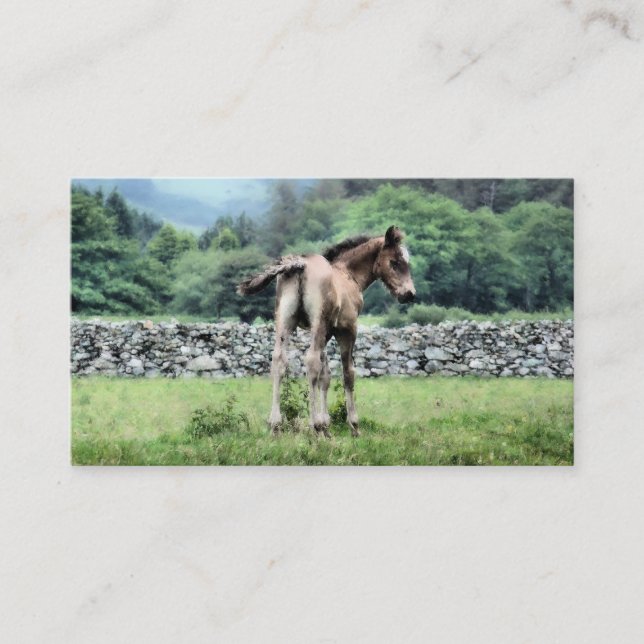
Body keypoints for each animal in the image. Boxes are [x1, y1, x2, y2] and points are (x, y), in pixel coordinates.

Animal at [237, 226, 416, 437]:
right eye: (395, 262)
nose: (409, 294)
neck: (348, 274)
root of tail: (299, 264)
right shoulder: (346, 329)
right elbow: (347, 373)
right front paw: (352, 425)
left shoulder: (326, 332)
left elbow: (326, 376)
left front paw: (326, 427)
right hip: (318, 323)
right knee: (311, 361)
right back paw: (313, 425)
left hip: (285, 321)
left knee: (279, 360)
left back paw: (275, 425)